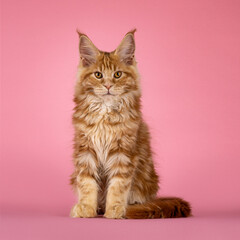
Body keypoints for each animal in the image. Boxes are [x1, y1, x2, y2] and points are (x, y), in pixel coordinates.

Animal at [69, 29, 191, 218]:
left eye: (117, 74)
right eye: (98, 75)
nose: (108, 85)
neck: (105, 113)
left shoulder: (124, 152)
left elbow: (118, 185)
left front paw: (114, 209)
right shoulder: (85, 150)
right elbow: (86, 183)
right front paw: (86, 208)